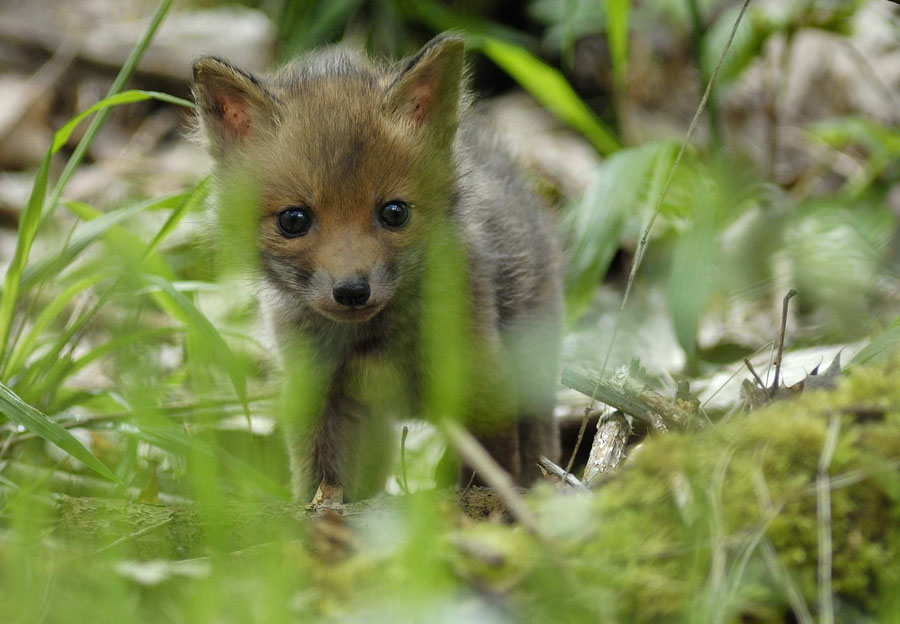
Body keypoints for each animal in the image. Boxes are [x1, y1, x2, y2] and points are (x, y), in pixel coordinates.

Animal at [192, 33, 560, 502]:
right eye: (293, 220)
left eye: (394, 213)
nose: (352, 291)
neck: (371, 341)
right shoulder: (319, 399)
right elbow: (321, 490)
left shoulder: (478, 383)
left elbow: (489, 478)